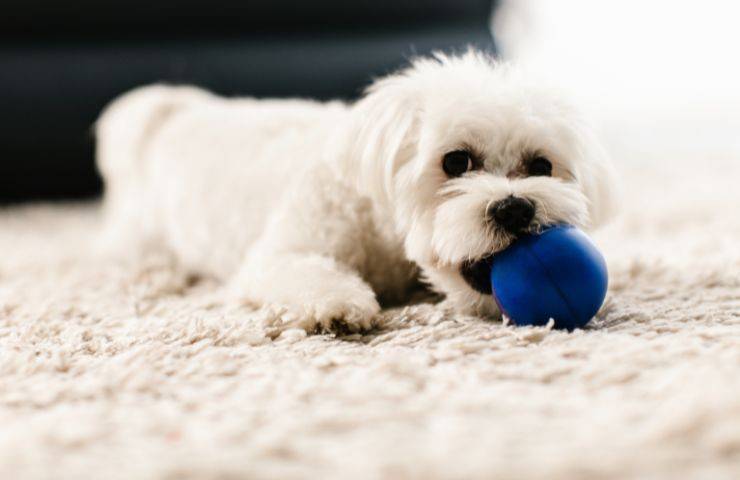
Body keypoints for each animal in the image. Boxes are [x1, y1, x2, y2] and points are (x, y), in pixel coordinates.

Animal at [97, 49, 620, 334]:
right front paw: (337, 306)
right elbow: (309, 273)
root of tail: (174, 110)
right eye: (456, 161)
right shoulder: (281, 253)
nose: (515, 208)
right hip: (143, 234)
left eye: (541, 165)